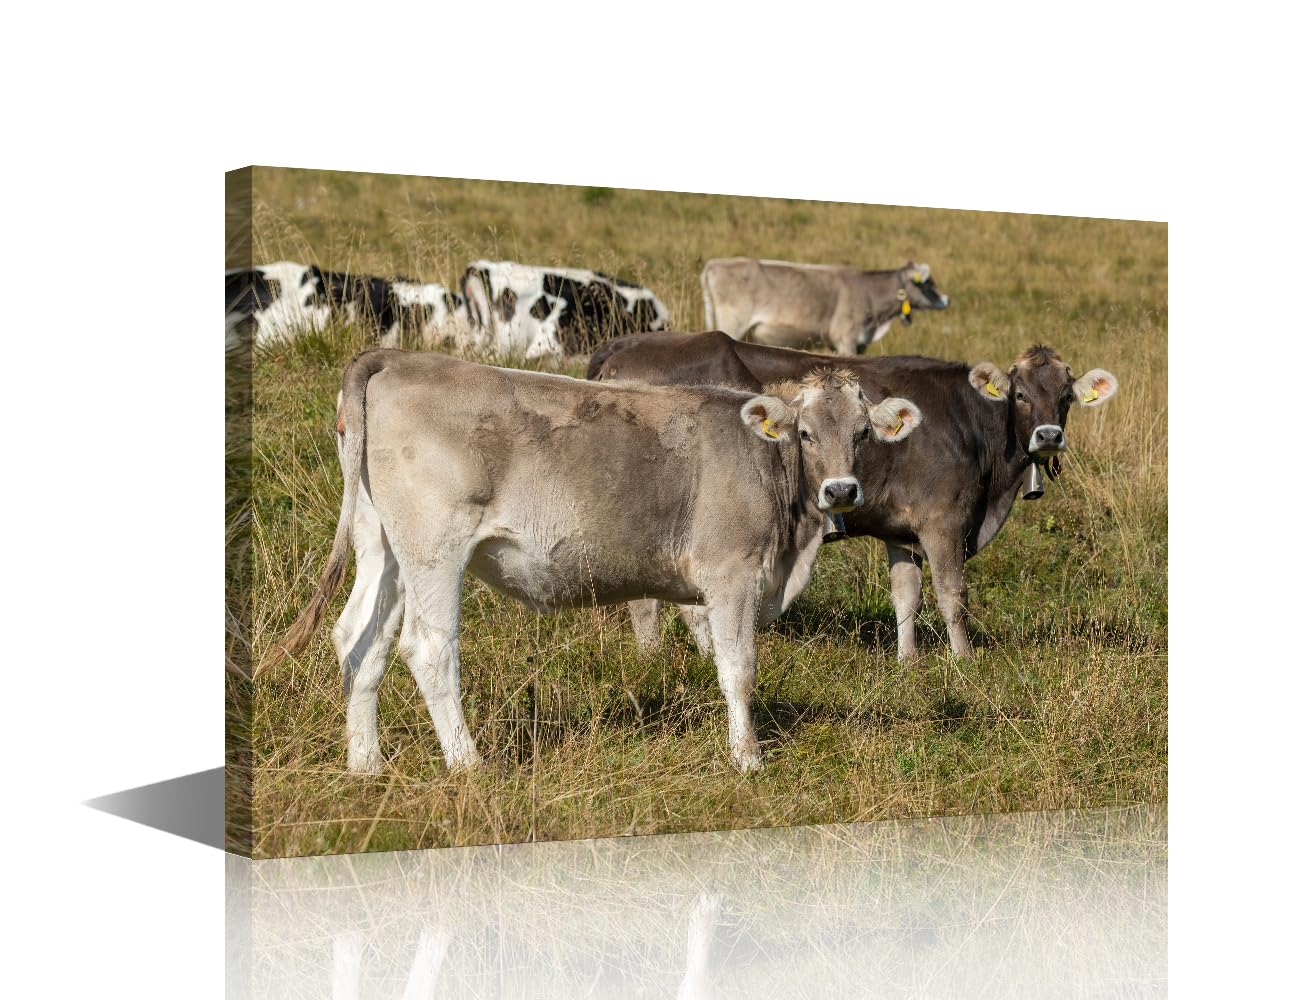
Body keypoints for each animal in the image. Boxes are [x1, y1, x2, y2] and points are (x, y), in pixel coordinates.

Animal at [257, 350, 921, 773]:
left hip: (383, 545)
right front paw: (748, 759)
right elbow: (738, 669)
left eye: (862, 433)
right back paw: (468, 765)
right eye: (804, 433)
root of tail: (396, 358)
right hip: (433, 548)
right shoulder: (730, 574)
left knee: (358, 639)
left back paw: (365, 764)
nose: (841, 490)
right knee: (427, 647)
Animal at [588, 331, 1118, 659]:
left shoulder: (902, 531)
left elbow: (906, 595)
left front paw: (908, 660)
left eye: (1066, 397)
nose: (1048, 436)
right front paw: (964, 660)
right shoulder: (943, 521)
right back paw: (654, 656)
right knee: (648, 600)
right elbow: (953, 594)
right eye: (1020, 394)